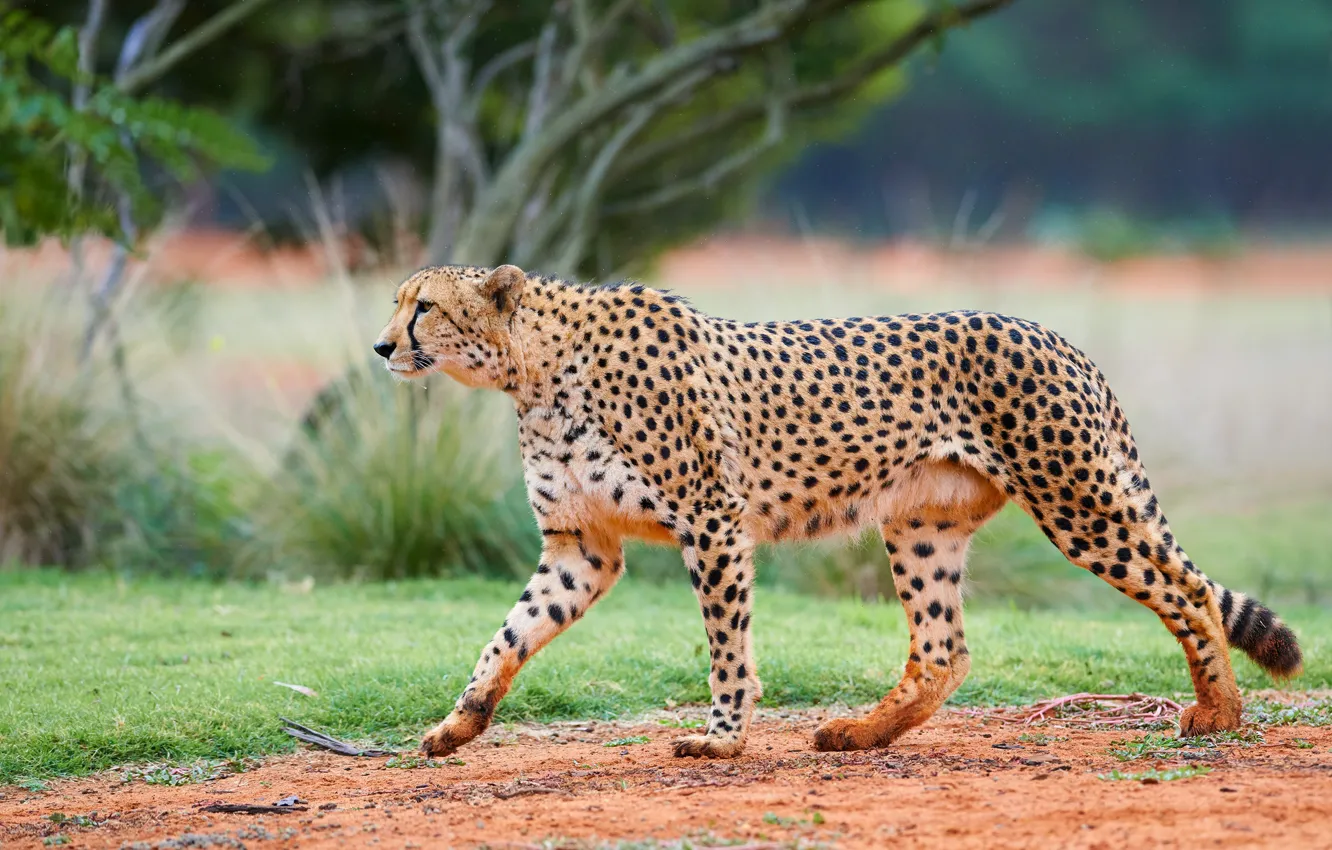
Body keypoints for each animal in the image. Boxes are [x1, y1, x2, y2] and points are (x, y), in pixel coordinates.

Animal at [372, 262, 1303, 760]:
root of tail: (1052, 332)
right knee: (943, 650)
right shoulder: (581, 547)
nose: (381, 346)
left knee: (1185, 590)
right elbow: (508, 634)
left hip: (1078, 500)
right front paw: (458, 724)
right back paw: (859, 734)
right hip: (923, 525)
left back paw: (1218, 715)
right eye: (397, 301)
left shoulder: (712, 521)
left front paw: (722, 737)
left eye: (424, 305)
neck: (533, 370)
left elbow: (727, 645)